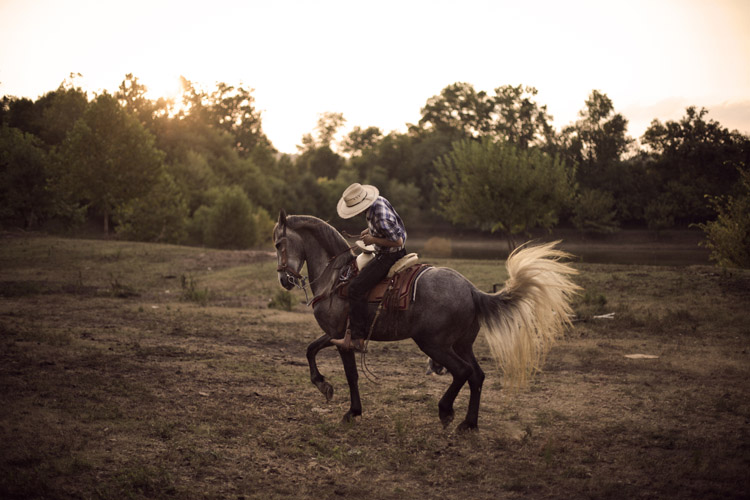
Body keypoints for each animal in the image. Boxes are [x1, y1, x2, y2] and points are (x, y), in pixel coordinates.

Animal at [274, 210, 580, 430]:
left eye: (278, 243)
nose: (284, 280)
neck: (338, 277)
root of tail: (471, 290)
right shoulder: (335, 334)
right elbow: (310, 349)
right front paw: (323, 385)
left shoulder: (344, 337)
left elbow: (351, 375)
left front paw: (352, 411)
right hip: (461, 344)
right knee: (477, 375)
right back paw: (469, 424)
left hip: (434, 344)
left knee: (463, 372)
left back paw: (446, 411)